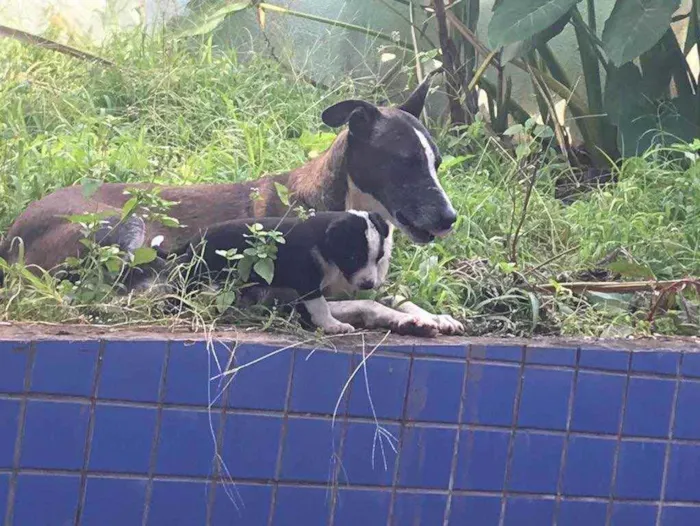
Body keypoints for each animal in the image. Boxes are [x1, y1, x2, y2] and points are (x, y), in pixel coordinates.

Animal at [167, 210, 392, 334]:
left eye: (379, 257)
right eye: (353, 258)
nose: (369, 285)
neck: (322, 240)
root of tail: (195, 240)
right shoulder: (307, 281)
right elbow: (321, 307)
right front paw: (332, 325)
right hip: (197, 271)